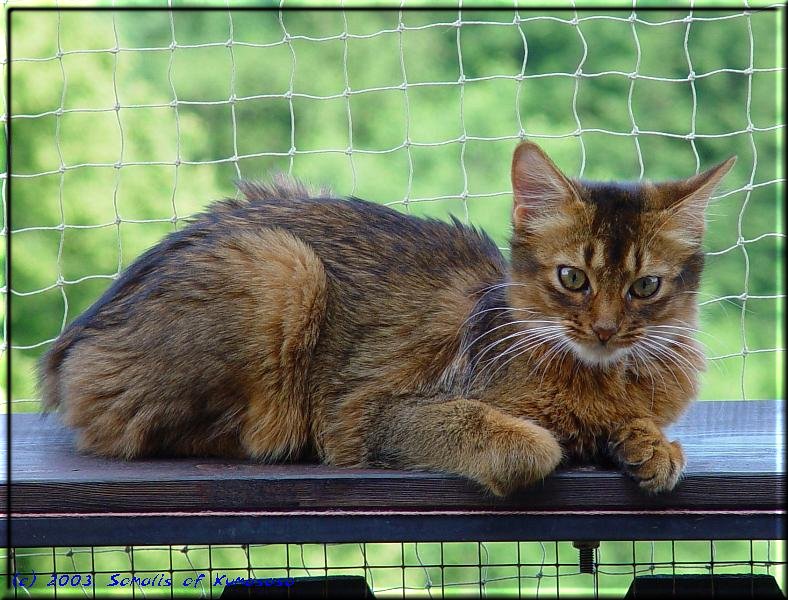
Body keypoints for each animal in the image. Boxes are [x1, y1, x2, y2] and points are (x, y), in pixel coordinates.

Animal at [40, 142, 736, 496]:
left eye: (645, 286)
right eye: (573, 279)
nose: (606, 329)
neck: (601, 380)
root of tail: (70, 343)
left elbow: (645, 432)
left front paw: (648, 446)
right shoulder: (385, 414)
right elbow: (530, 446)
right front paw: (572, 444)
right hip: (281, 266)